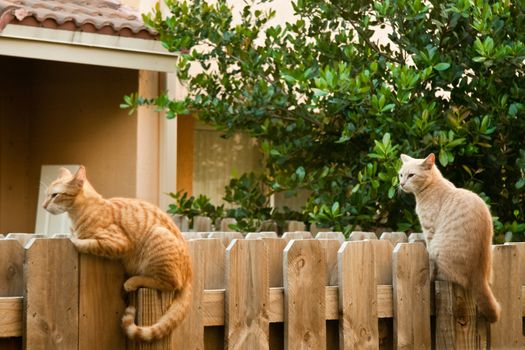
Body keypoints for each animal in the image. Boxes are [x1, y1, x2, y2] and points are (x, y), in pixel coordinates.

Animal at [41, 165, 192, 340]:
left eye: (55, 195)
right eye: (47, 195)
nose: (43, 205)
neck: (79, 214)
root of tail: (190, 271)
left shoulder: (118, 242)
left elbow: (89, 243)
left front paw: (74, 240)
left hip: (158, 236)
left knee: (171, 283)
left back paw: (133, 281)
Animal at [400, 153, 502, 322]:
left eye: (411, 175)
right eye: (400, 175)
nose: (401, 184)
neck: (431, 186)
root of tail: (478, 276)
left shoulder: (429, 231)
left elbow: (428, 251)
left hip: (439, 250)